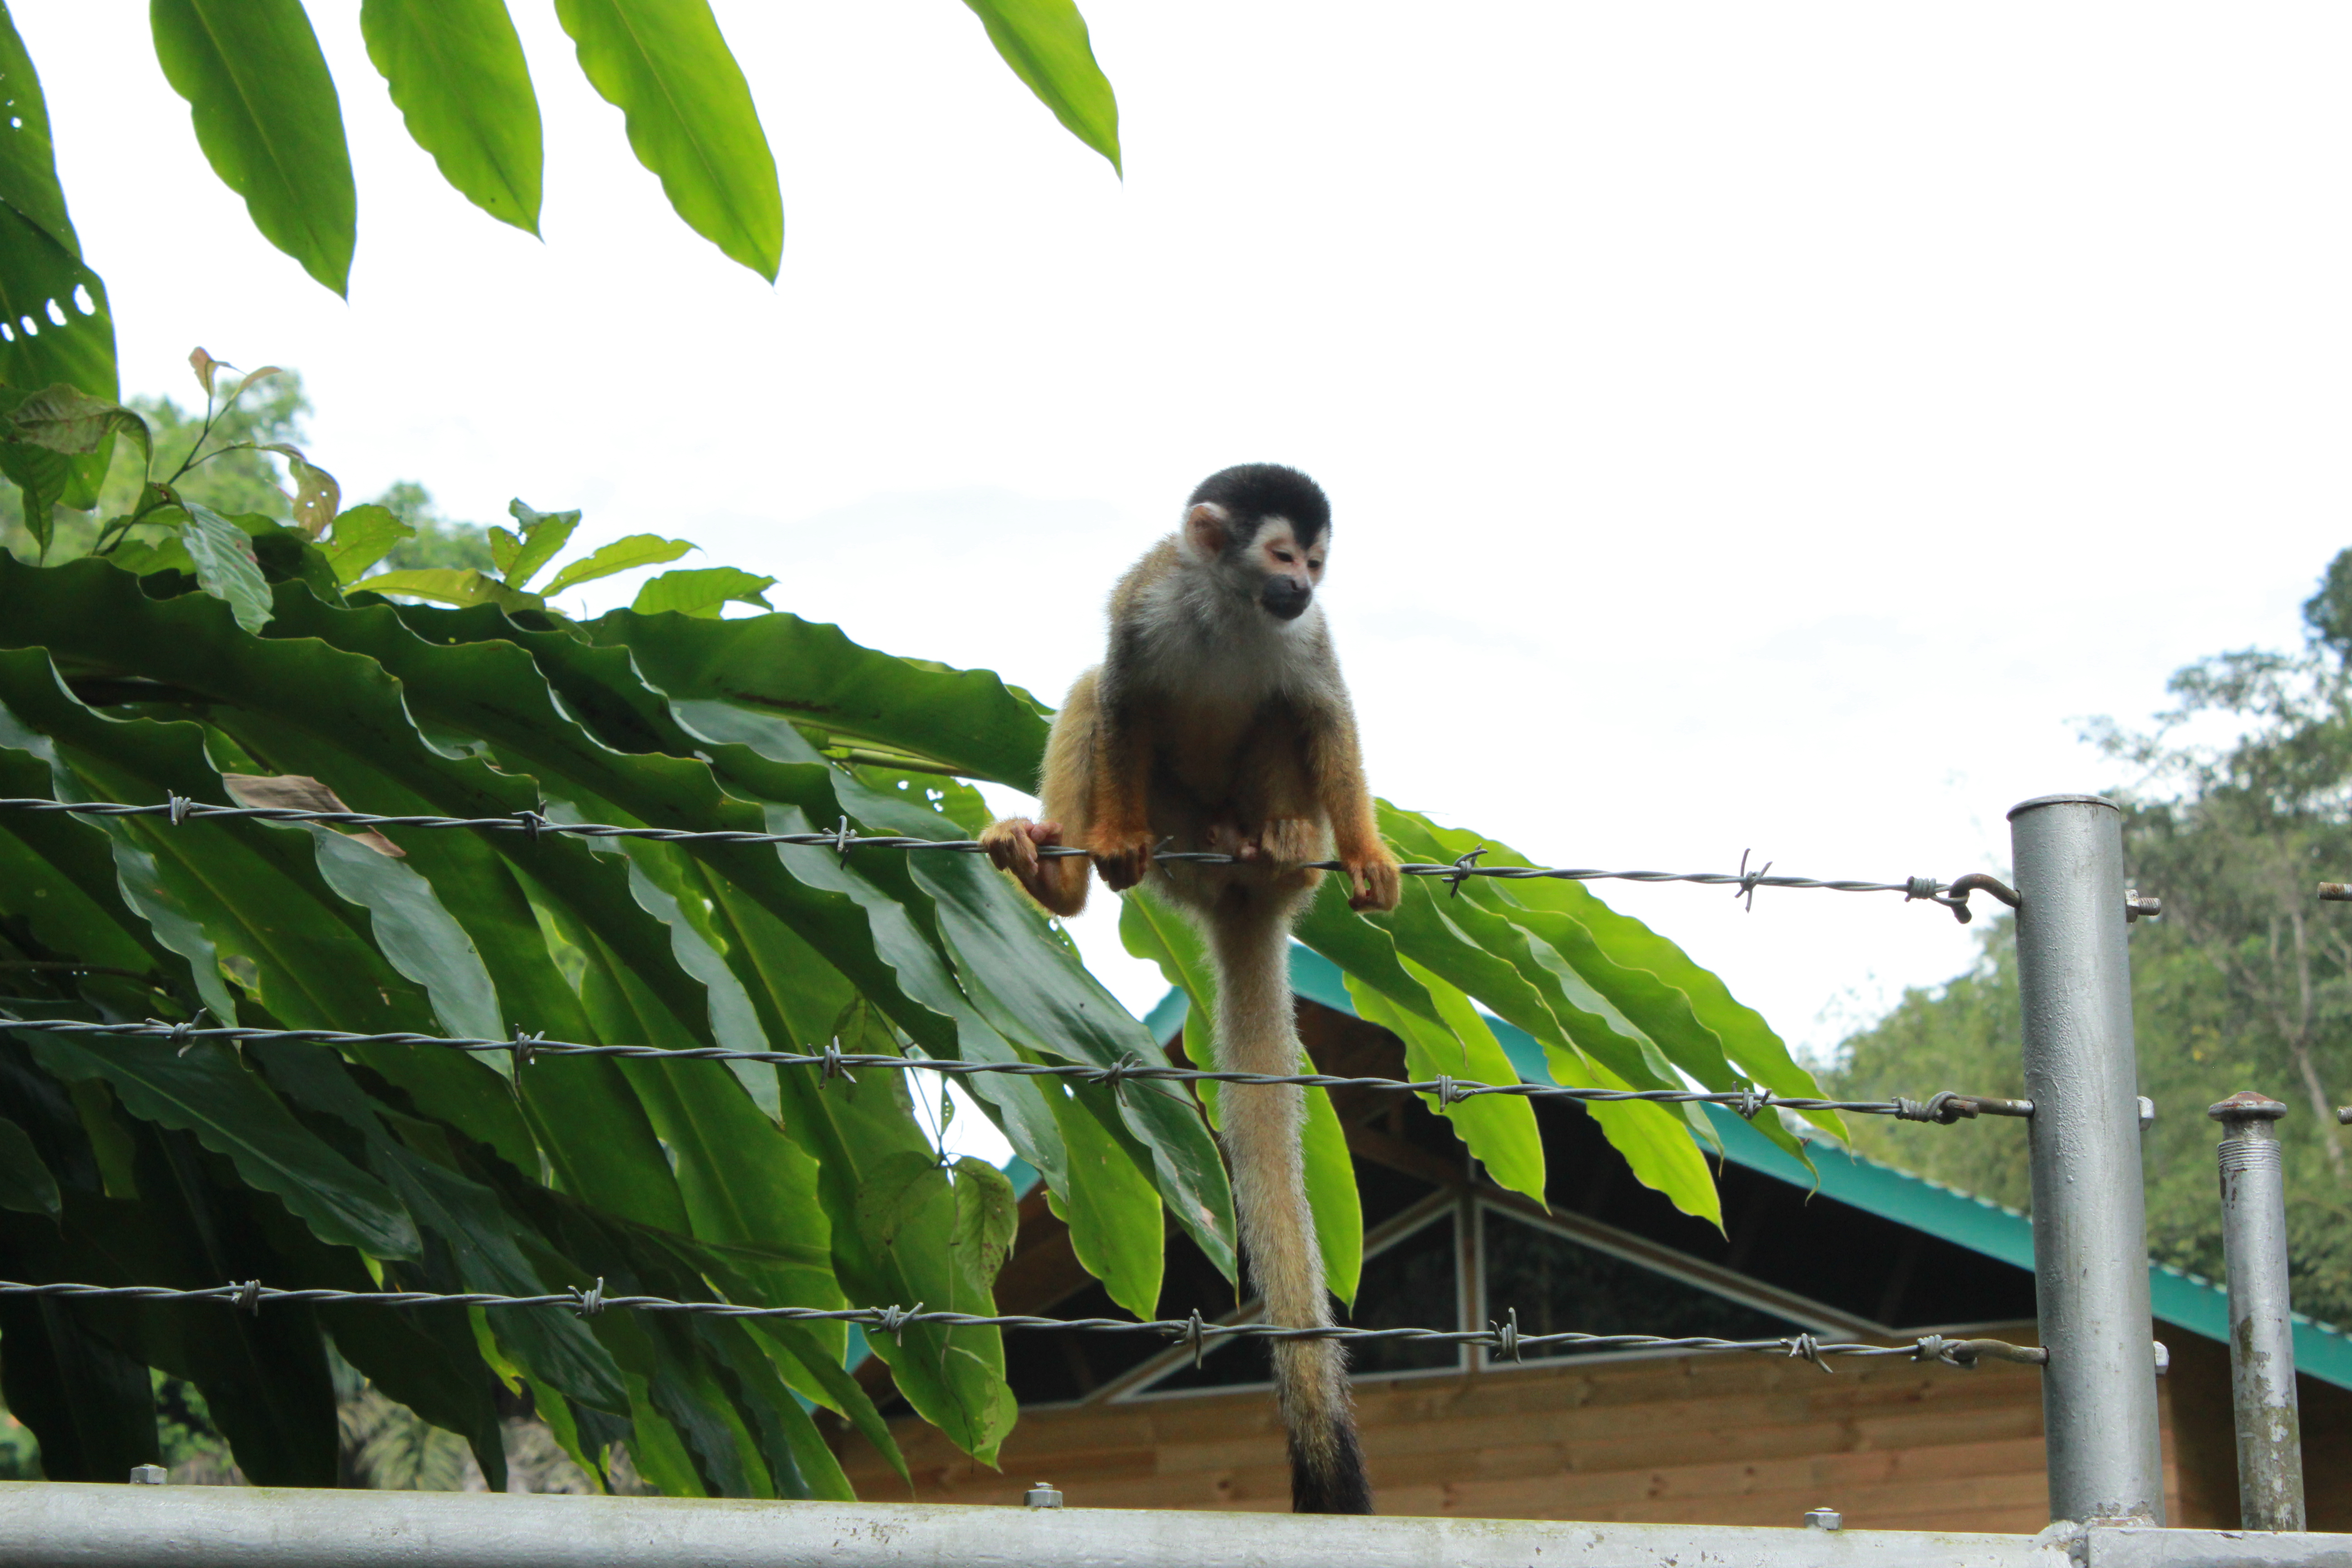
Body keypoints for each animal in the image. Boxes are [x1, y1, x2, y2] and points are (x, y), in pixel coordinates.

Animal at [980, 463, 1401, 1514]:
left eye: (1315, 565)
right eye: (1284, 555)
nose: (1302, 588)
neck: (1232, 609)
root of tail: (1234, 890)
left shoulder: (1306, 639)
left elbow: (1326, 716)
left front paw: (1369, 852)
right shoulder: (1146, 604)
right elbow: (1123, 701)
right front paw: (1112, 839)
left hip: (1257, 823)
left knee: (1289, 727)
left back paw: (1283, 842)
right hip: (1182, 843)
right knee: (1092, 695)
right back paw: (1064, 876)